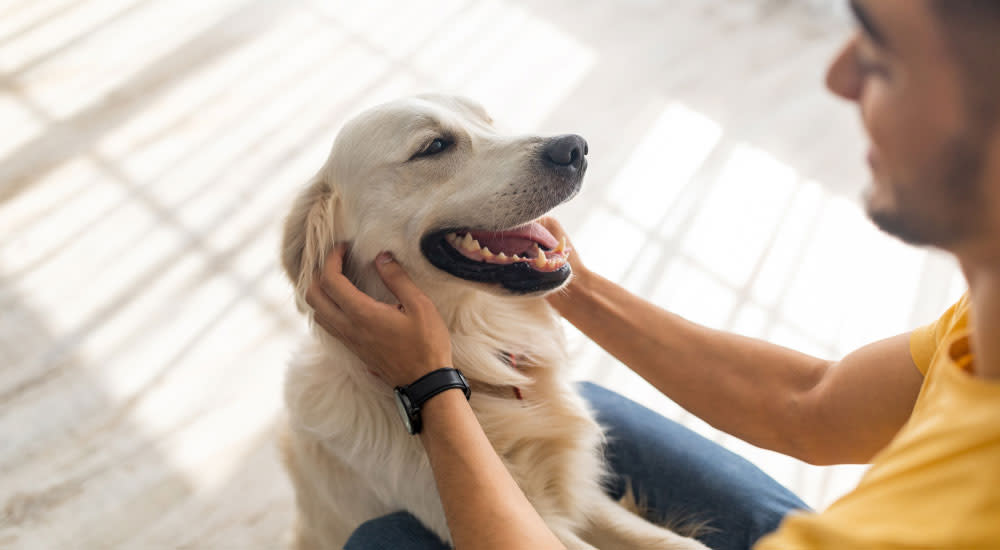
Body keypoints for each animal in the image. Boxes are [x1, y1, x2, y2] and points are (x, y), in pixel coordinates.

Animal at [278, 95, 708, 550]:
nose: (575, 148)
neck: (480, 360)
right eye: (433, 146)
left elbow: (681, 543)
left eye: (488, 121)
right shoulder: (532, 519)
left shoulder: (581, 494)